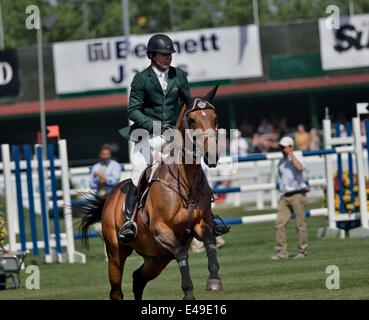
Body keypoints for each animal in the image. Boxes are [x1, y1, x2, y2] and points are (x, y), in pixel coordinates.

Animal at [80, 85, 221, 300]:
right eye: (191, 120)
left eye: (215, 118)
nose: (211, 155)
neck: (186, 181)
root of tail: (110, 198)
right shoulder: (161, 230)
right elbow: (182, 253)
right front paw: (188, 293)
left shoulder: (201, 224)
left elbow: (210, 241)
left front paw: (214, 280)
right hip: (116, 255)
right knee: (116, 291)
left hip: (158, 258)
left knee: (138, 278)